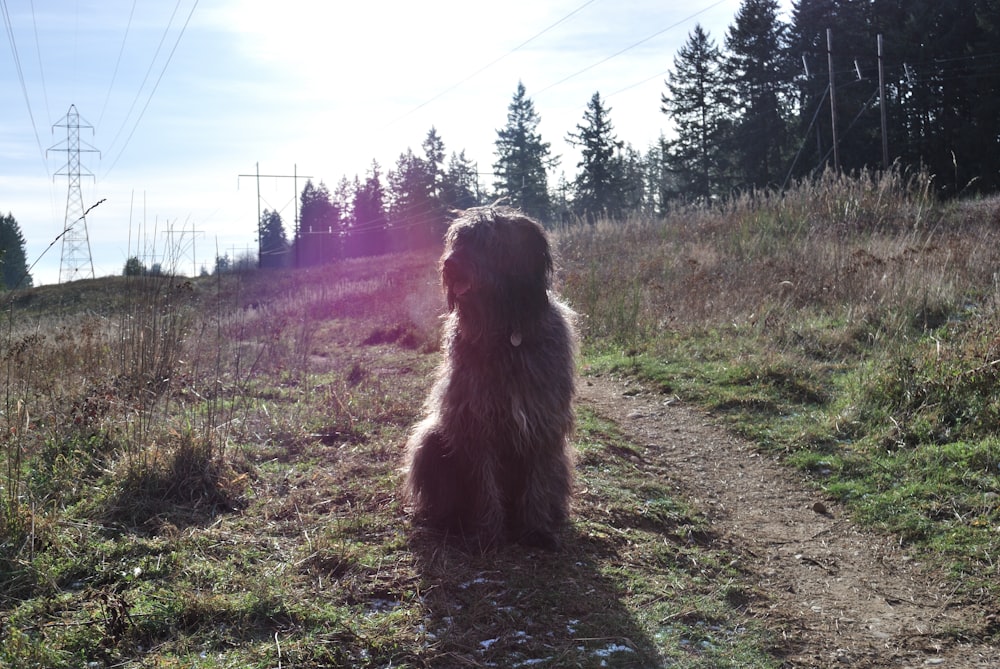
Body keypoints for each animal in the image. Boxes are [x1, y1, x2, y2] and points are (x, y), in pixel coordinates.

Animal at [404, 206, 580, 552]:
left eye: (488, 242)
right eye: (458, 239)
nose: (450, 264)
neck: (506, 332)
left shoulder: (542, 422)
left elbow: (537, 480)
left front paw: (536, 530)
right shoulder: (475, 422)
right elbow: (483, 484)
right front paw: (488, 533)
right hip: (432, 438)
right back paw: (450, 520)